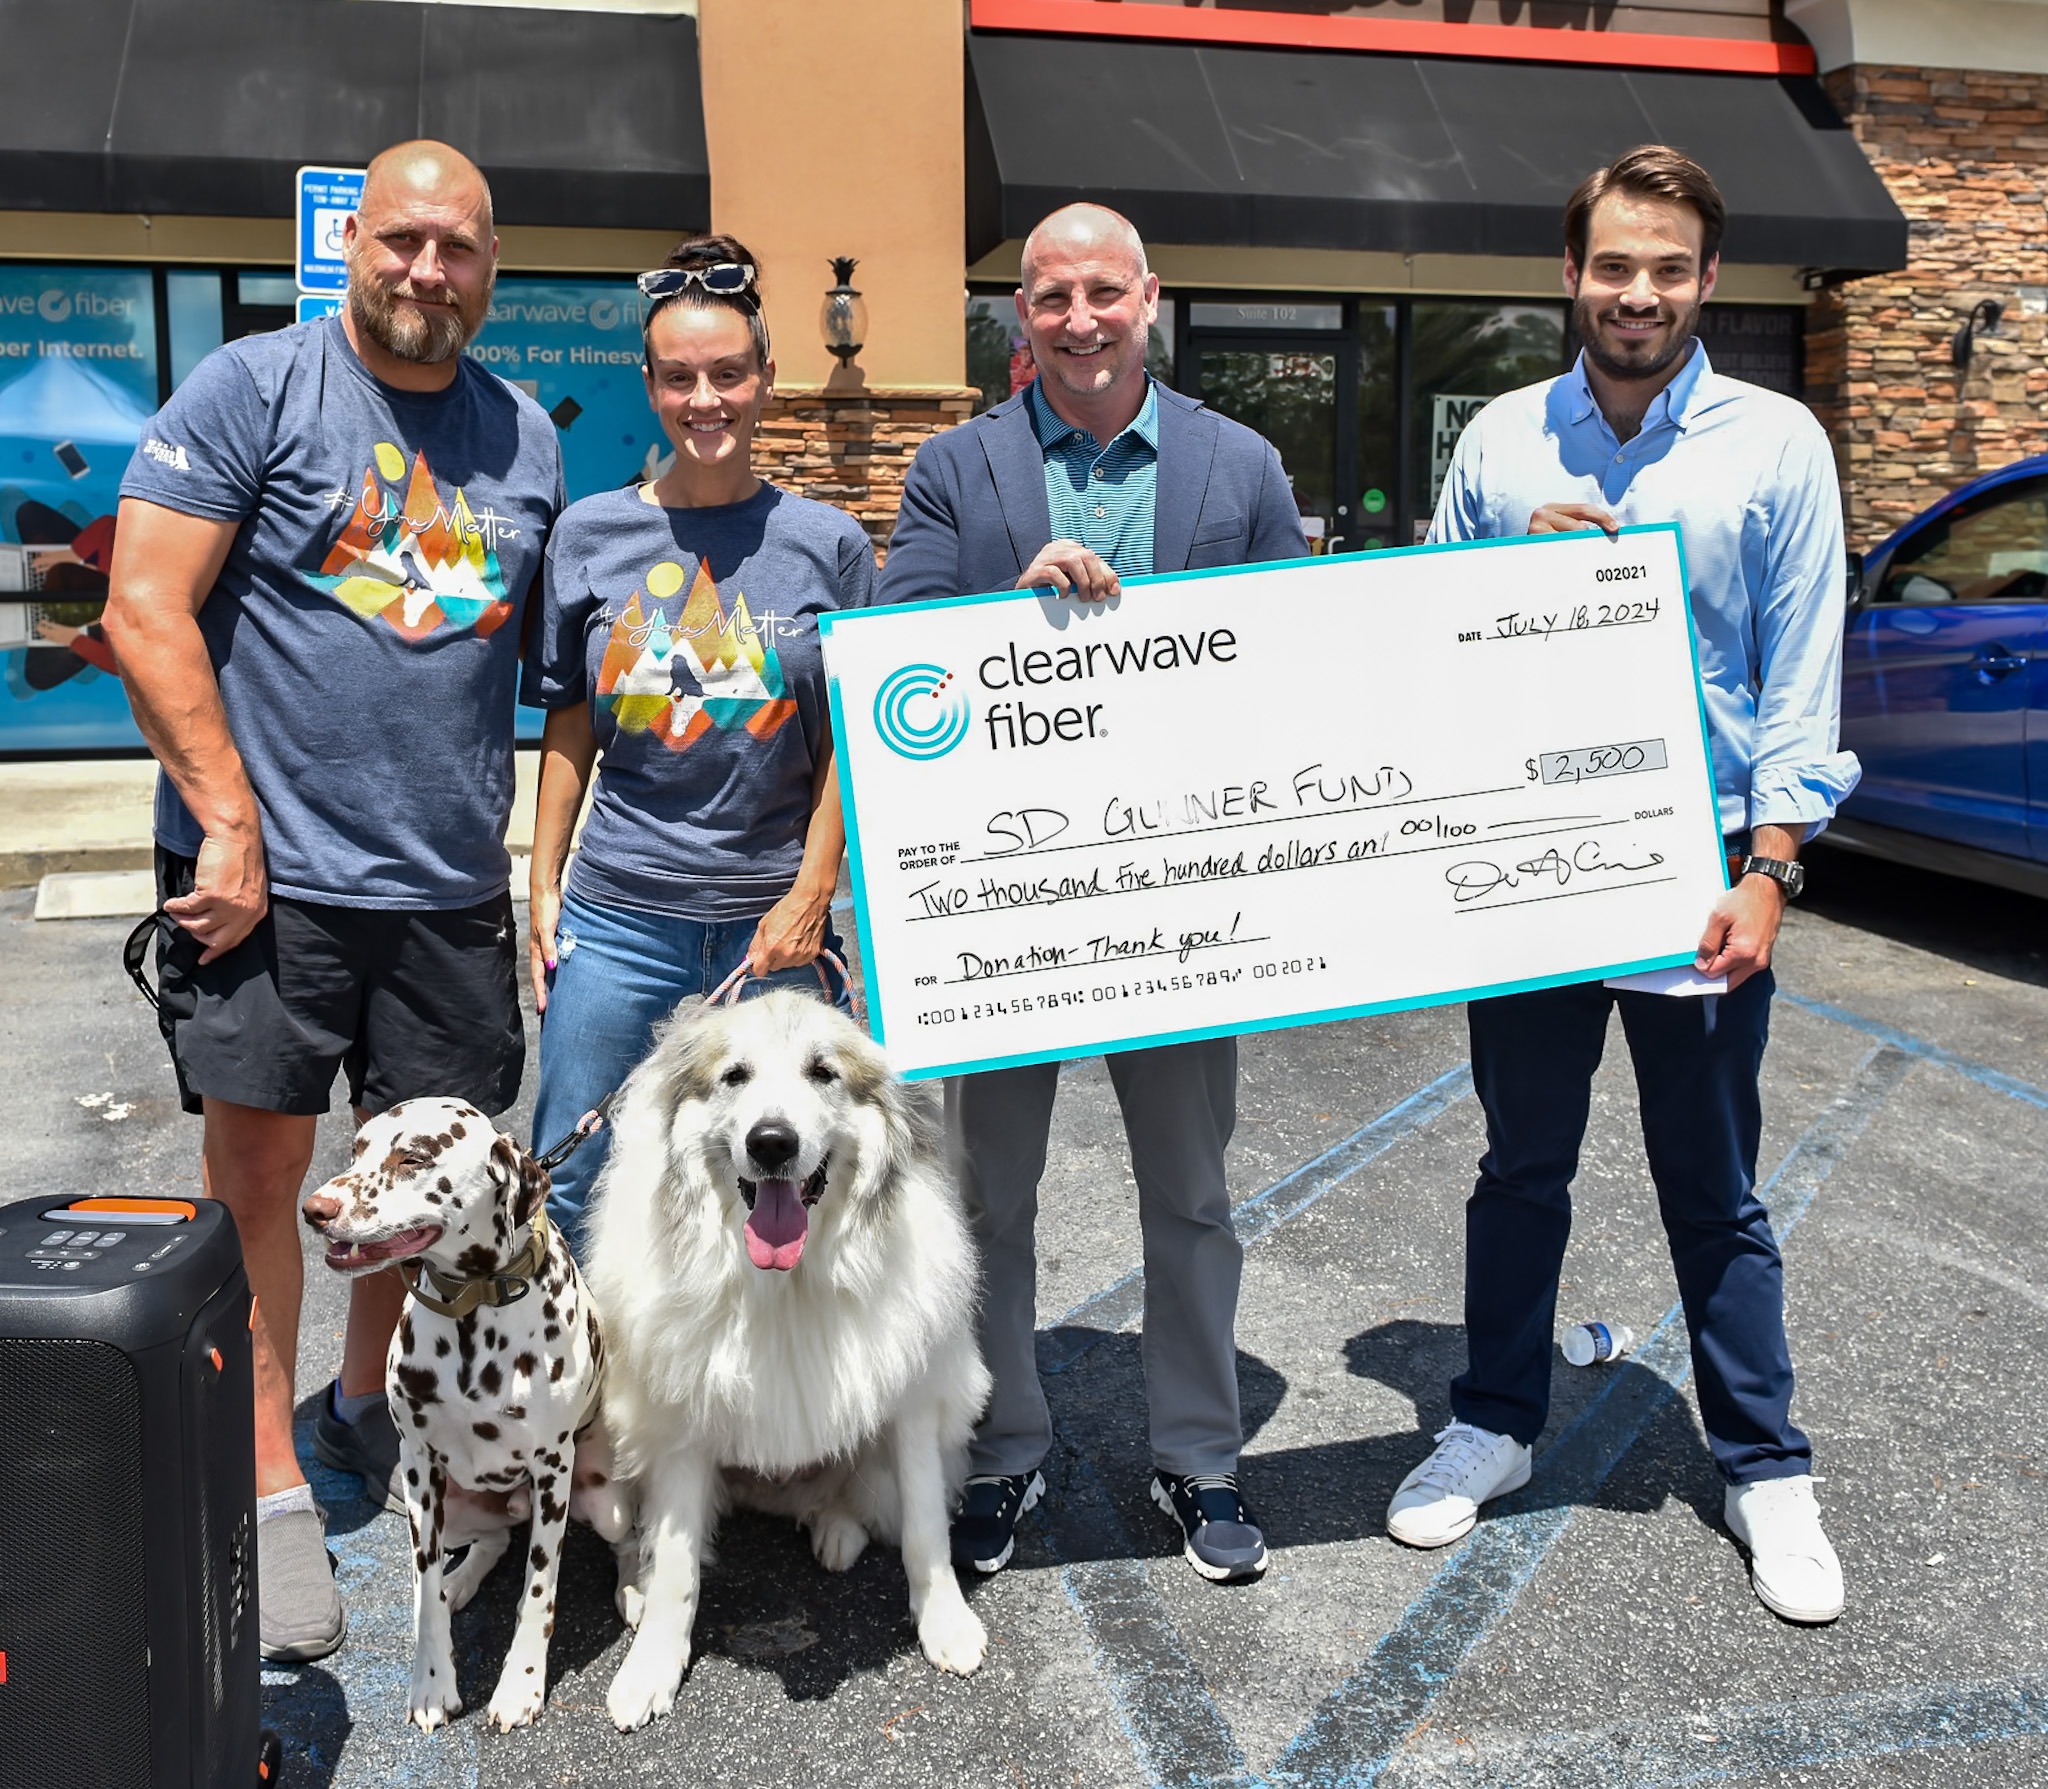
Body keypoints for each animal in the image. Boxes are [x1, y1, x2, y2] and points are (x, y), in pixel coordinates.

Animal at [303, 1097, 634, 1719]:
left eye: (413, 1158)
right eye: (358, 1149)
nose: (315, 1210)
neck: (474, 1309)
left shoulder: (552, 1469)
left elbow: (539, 1590)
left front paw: (522, 1683)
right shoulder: (418, 1464)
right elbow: (424, 1589)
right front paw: (432, 1680)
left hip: (606, 1503)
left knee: (625, 1538)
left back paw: (637, 1587)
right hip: (452, 1510)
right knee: (492, 1541)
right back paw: (461, 1580)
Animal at [585, 982, 991, 1719]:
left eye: (822, 1072)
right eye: (734, 1076)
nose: (772, 1142)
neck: (784, 1279)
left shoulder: (913, 1404)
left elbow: (927, 1531)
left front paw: (945, 1623)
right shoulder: (680, 1423)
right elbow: (677, 1565)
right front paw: (650, 1667)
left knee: (854, 1498)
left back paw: (836, 1531)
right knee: (640, 1531)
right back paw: (635, 1584)